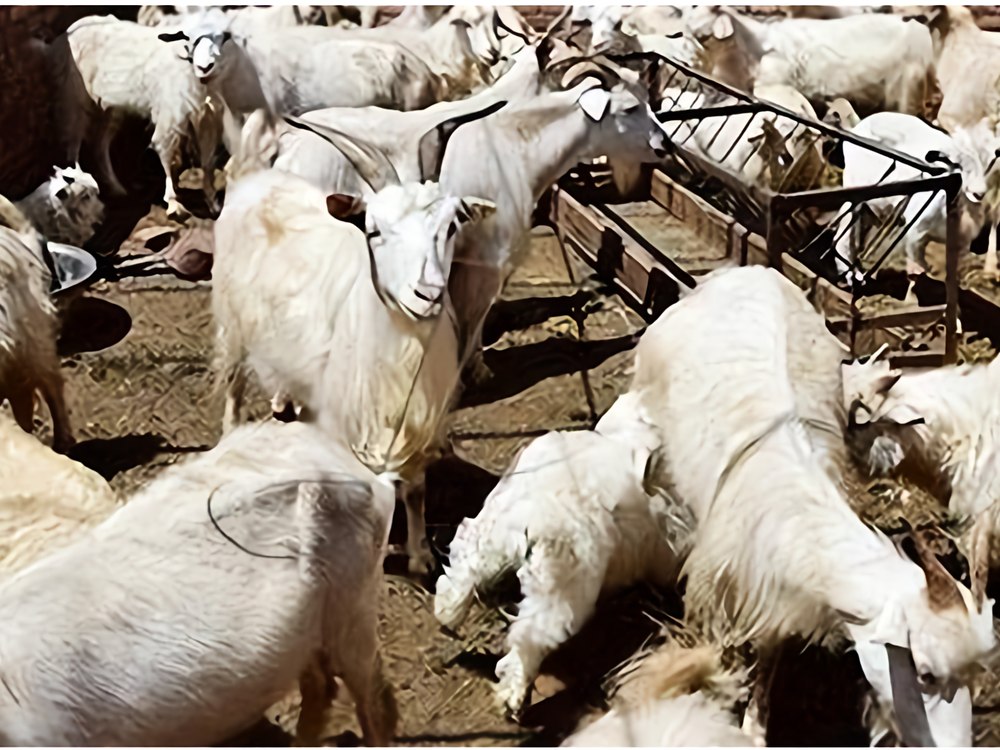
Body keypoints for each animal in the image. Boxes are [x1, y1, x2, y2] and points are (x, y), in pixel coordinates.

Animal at [213, 130, 495, 574]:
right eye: (373, 230)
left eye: (452, 226)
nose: (428, 293)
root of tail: (258, 179)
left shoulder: (414, 416)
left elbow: (415, 489)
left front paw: (420, 555)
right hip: (232, 323)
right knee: (233, 384)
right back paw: (231, 430)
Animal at [434, 392, 693, 714]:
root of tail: (534, 506)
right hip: (562, 596)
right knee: (527, 640)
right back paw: (512, 696)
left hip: (492, 533)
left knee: (464, 559)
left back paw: (448, 612)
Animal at [627, 265, 995, 746]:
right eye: (926, 674)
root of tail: (752, 270)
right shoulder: (721, 591)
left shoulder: (774, 593)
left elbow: (767, 657)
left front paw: (755, 726)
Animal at [832, 111, 998, 281]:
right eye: (958, 164)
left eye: (992, 158)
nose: (979, 193)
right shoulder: (915, 235)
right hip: (855, 190)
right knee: (844, 230)